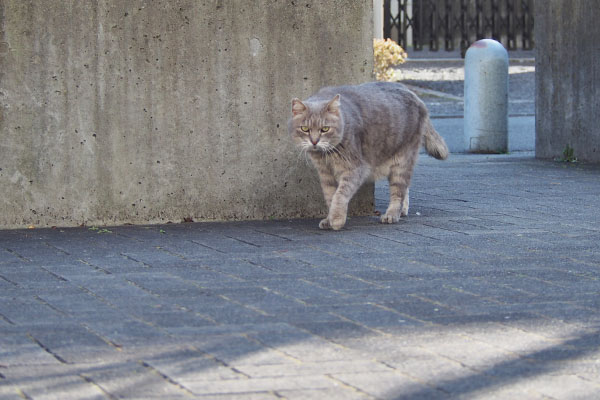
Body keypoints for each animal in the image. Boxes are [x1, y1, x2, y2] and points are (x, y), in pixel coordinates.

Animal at [288, 81, 448, 230]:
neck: (325, 156)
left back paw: (392, 214)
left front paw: (337, 219)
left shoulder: (355, 168)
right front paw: (329, 219)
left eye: (325, 129)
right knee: (405, 188)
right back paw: (402, 210)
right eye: (305, 128)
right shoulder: (325, 173)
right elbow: (330, 196)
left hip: (402, 160)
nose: (314, 141)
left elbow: (340, 194)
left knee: (398, 191)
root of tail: (413, 94)